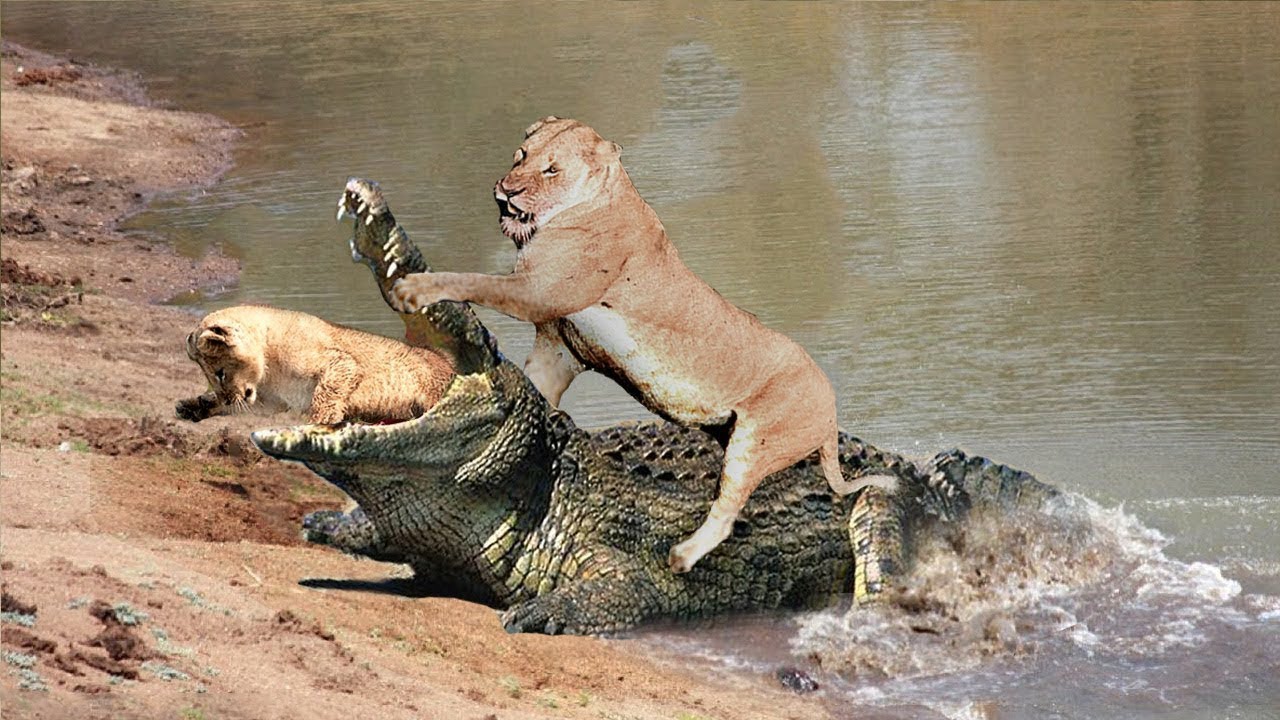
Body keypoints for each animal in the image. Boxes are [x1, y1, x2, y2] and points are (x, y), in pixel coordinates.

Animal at [175, 305, 454, 425]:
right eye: (209, 377)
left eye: (220, 373)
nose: (226, 397)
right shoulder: (270, 403)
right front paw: (194, 406)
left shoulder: (339, 361)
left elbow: (326, 389)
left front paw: (322, 418)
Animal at [390, 116, 887, 573]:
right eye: (520, 155)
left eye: (552, 170)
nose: (505, 193)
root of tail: (830, 408)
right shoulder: (557, 348)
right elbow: (532, 387)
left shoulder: (536, 293)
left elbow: (473, 280)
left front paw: (414, 289)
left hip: (754, 442)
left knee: (727, 513)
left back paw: (680, 558)